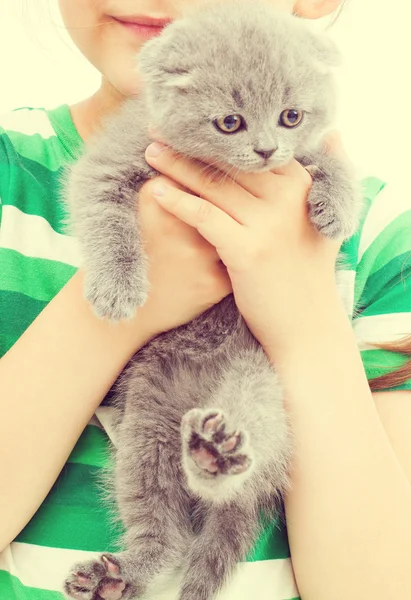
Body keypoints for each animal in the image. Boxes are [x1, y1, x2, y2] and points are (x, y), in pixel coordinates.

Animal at [62, 1, 360, 600]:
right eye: (230, 122)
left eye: (291, 116)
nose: (267, 149)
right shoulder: (109, 163)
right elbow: (105, 216)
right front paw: (117, 287)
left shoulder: (310, 151)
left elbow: (334, 163)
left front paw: (336, 208)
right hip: (145, 425)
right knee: (167, 528)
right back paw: (122, 570)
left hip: (263, 386)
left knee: (250, 470)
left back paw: (218, 453)